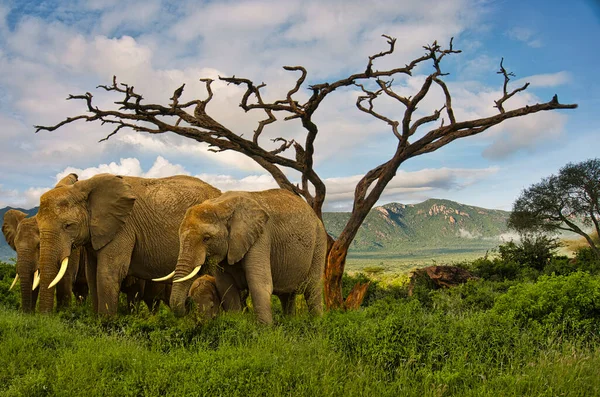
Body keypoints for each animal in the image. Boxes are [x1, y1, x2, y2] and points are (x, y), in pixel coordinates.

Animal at [34, 172, 220, 314]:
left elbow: (108, 273)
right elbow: (92, 274)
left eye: (68, 226)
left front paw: (106, 326)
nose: (45, 318)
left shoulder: (123, 228)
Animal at [166, 188, 326, 322]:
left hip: (319, 242)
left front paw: (264, 333)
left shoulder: (261, 237)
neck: (222, 205)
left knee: (312, 289)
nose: (188, 301)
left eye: (206, 238)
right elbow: (226, 287)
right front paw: (237, 323)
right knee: (287, 296)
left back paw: (316, 324)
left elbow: (258, 283)